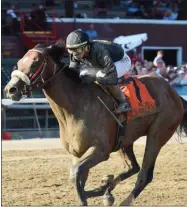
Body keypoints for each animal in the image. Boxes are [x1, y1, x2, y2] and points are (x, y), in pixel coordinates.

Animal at [4, 41, 187, 205]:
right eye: (19, 62)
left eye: (36, 61)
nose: (11, 89)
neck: (74, 108)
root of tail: (174, 93)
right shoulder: (77, 152)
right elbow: (78, 177)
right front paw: (104, 188)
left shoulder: (100, 150)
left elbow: (75, 173)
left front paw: (88, 197)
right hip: (124, 139)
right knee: (132, 167)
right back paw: (108, 189)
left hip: (158, 133)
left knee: (144, 175)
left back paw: (123, 200)